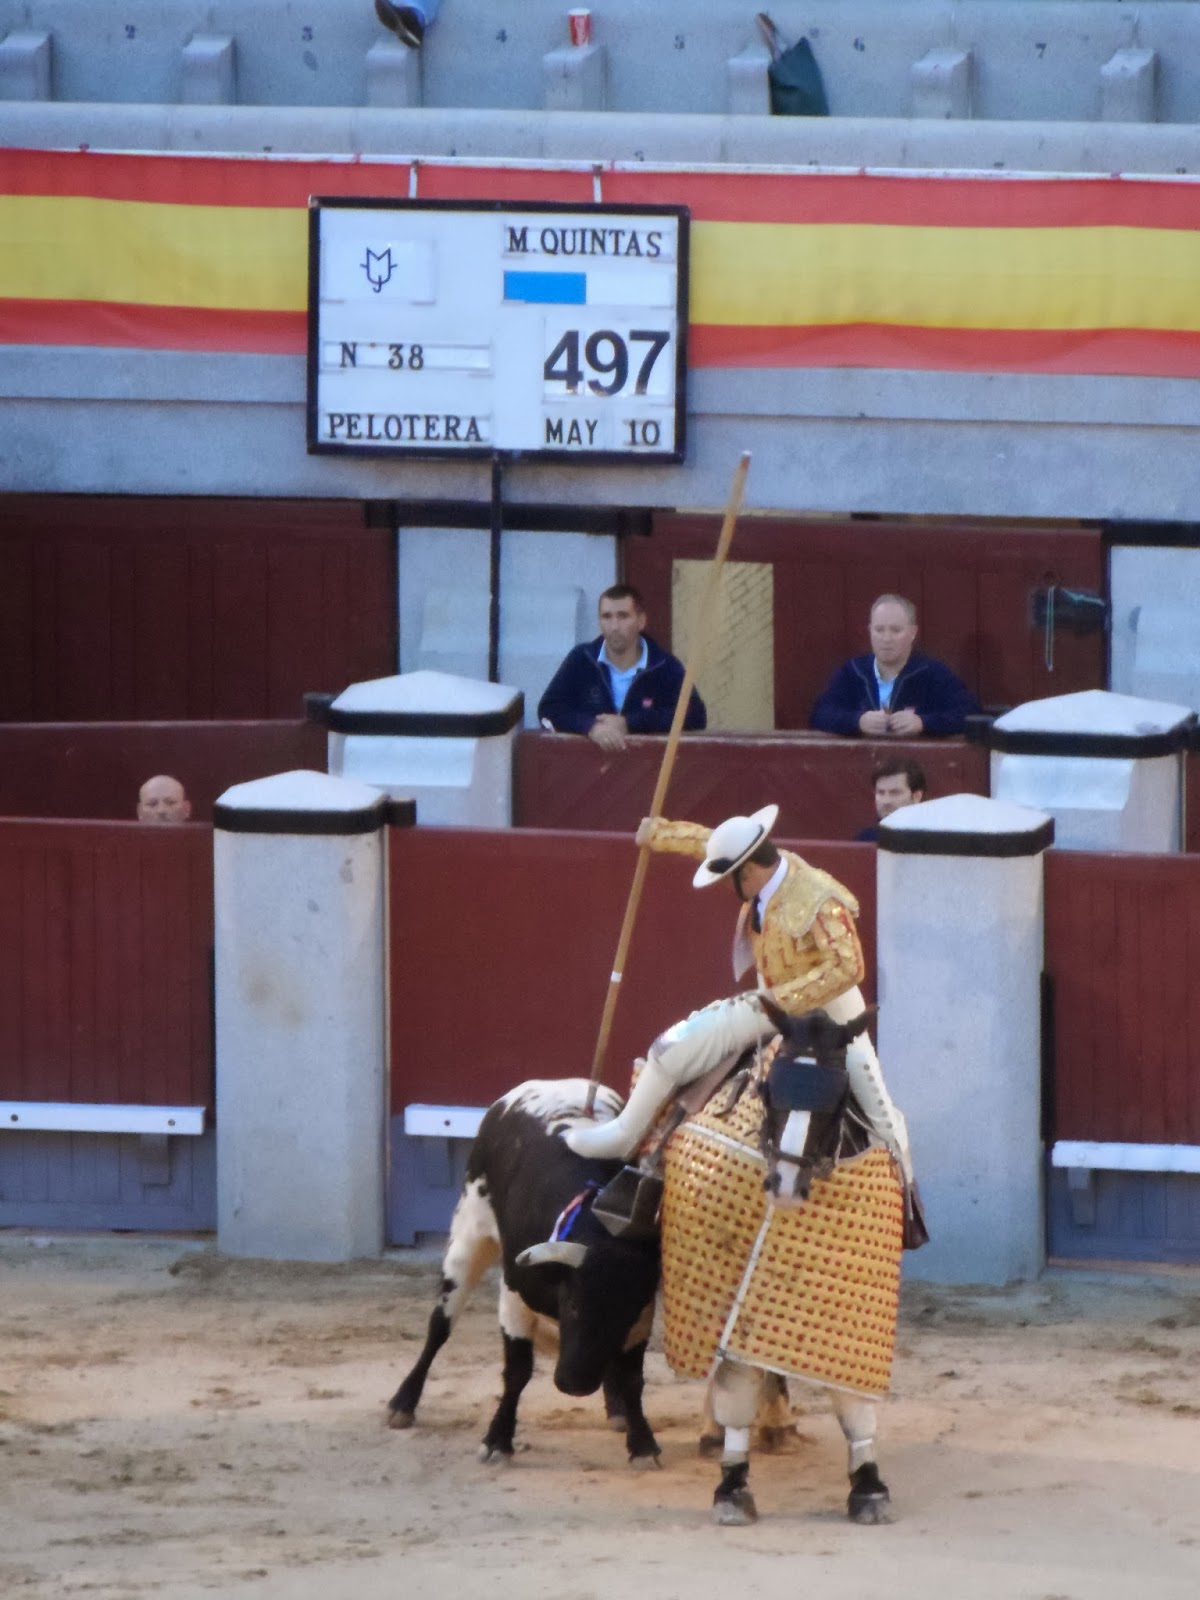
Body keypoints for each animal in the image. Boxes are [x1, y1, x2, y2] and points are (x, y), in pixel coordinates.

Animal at [386, 1079, 662, 1465]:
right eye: (573, 1304)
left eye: (625, 1314)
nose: (575, 1384)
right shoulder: (515, 1294)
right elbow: (517, 1372)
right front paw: (498, 1439)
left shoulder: (642, 1315)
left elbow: (632, 1377)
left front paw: (641, 1442)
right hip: (467, 1239)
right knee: (439, 1326)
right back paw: (403, 1403)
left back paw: (616, 1409)